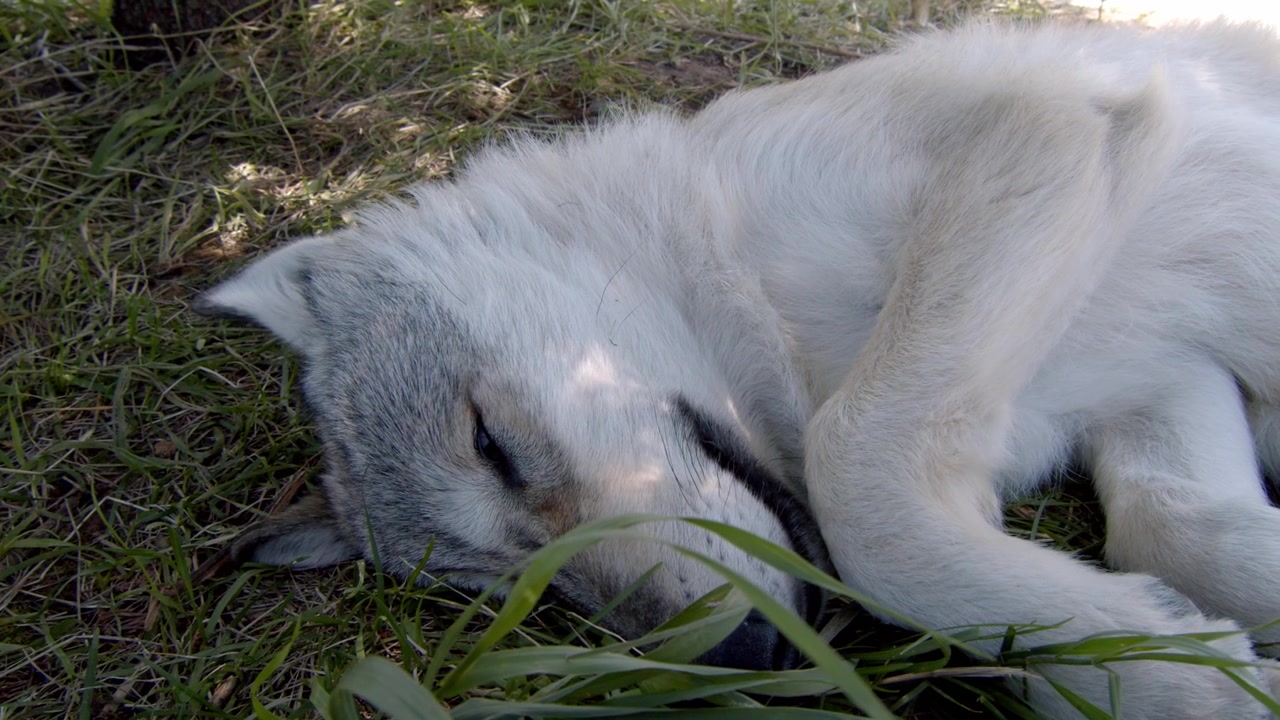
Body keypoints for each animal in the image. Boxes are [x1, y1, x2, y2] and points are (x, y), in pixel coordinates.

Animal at [196, 18, 1280, 719]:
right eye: (513, 592)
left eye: (490, 442)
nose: (741, 656)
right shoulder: (1164, 378)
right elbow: (1164, 528)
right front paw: (1173, 656)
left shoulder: (1045, 131)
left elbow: (862, 494)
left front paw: (1180, 678)